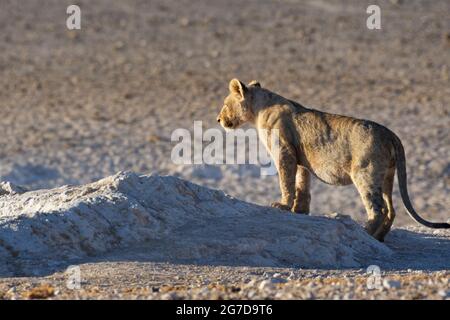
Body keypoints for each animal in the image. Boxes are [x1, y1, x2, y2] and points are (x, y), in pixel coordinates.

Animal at [216, 79, 448, 241]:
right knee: (391, 209)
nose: (218, 120)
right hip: (387, 176)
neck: (259, 109)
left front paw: (282, 205)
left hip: (365, 173)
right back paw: (379, 238)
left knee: (378, 208)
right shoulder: (301, 158)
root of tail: (390, 133)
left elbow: (286, 182)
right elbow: (302, 184)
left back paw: (365, 233)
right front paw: (300, 211)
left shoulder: (284, 152)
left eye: (225, 104)